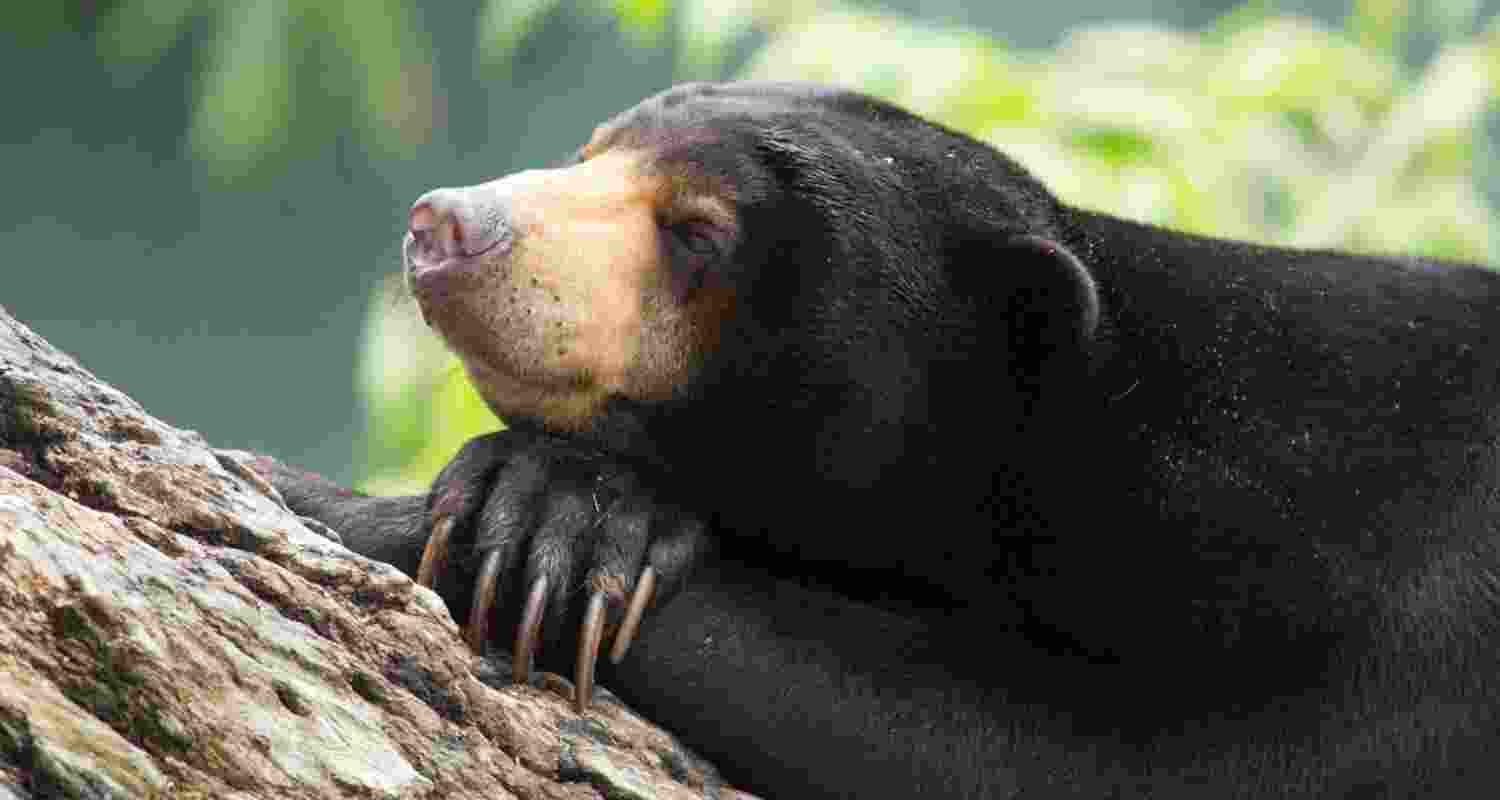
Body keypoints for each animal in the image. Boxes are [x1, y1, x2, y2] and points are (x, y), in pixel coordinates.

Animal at [255, 81, 1500, 798]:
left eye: (700, 232)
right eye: (589, 150)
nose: (448, 225)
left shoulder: (1395, 615)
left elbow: (1053, 756)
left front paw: (521, 517)